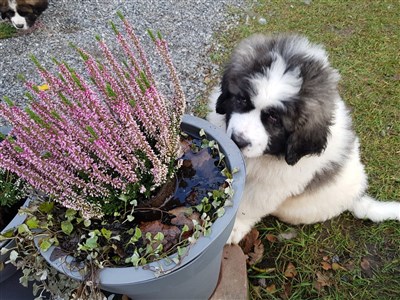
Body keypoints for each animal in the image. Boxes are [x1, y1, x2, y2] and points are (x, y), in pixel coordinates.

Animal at [206, 33, 400, 244]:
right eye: (242, 100)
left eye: (274, 119)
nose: (238, 141)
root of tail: (356, 197)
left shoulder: (271, 187)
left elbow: (249, 205)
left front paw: (235, 227)